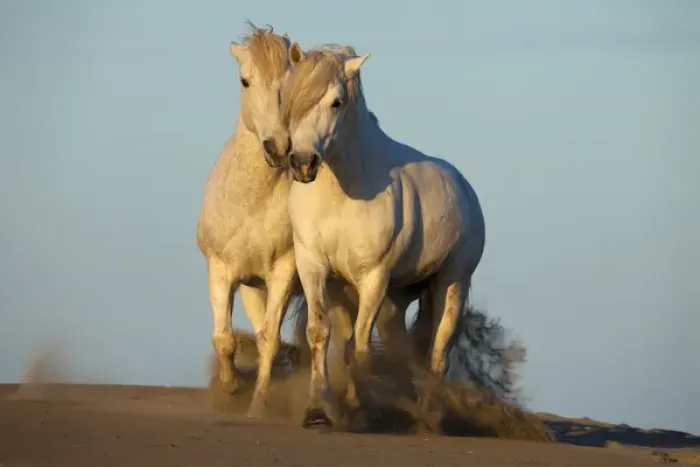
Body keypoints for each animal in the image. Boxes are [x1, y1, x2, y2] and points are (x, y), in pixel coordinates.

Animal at [279, 43, 486, 426]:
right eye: (289, 95)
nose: (302, 163)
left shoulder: (373, 277)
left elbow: (360, 344)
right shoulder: (313, 267)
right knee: (399, 348)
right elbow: (321, 334)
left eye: (337, 102)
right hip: (396, 299)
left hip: (452, 283)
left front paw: (360, 406)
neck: (341, 194)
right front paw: (317, 409)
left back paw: (429, 416)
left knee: (439, 349)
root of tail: (464, 187)